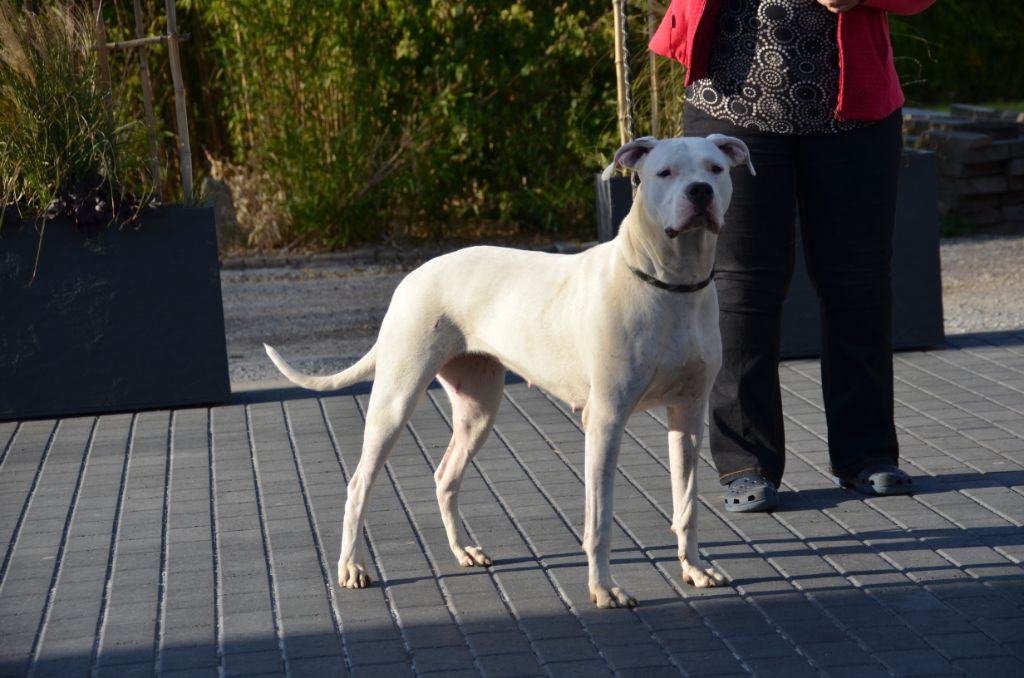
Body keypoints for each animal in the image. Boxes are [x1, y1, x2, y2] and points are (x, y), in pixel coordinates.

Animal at [268, 137, 757, 610]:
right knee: (358, 484)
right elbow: (599, 520)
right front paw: (604, 590)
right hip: (395, 401)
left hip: (479, 409)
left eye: (715, 169)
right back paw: (351, 567)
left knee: (445, 477)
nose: (700, 193)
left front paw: (695, 570)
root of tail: (413, 275)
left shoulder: (687, 417)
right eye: (665, 172)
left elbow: (687, 505)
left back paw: (462, 551)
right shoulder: (605, 422)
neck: (669, 283)